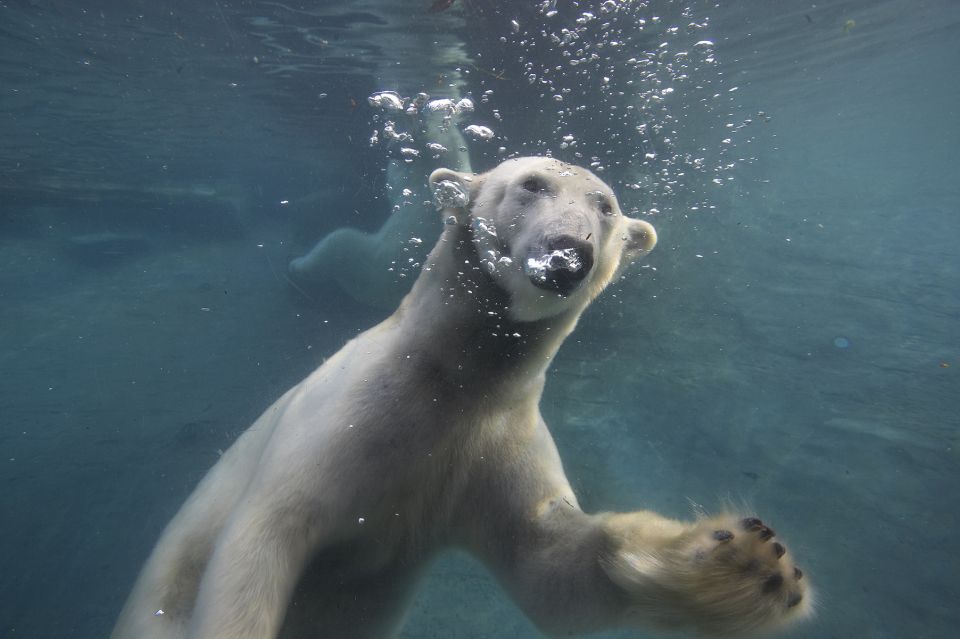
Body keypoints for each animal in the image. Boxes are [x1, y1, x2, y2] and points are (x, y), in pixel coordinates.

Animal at [112, 157, 811, 639]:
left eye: (606, 207)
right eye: (531, 184)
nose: (569, 253)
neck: (448, 379)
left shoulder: (487, 445)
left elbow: (550, 569)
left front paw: (754, 563)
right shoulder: (341, 423)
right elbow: (260, 545)